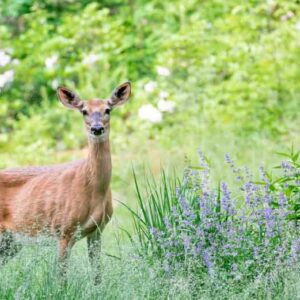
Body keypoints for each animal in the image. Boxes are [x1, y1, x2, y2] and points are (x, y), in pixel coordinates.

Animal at [0, 81, 131, 280]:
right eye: (84, 111)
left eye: (108, 109)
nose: (97, 128)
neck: (93, 190)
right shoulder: (64, 230)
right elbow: (61, 278)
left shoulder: (97, 230)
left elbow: (97, 275)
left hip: (11, 241)